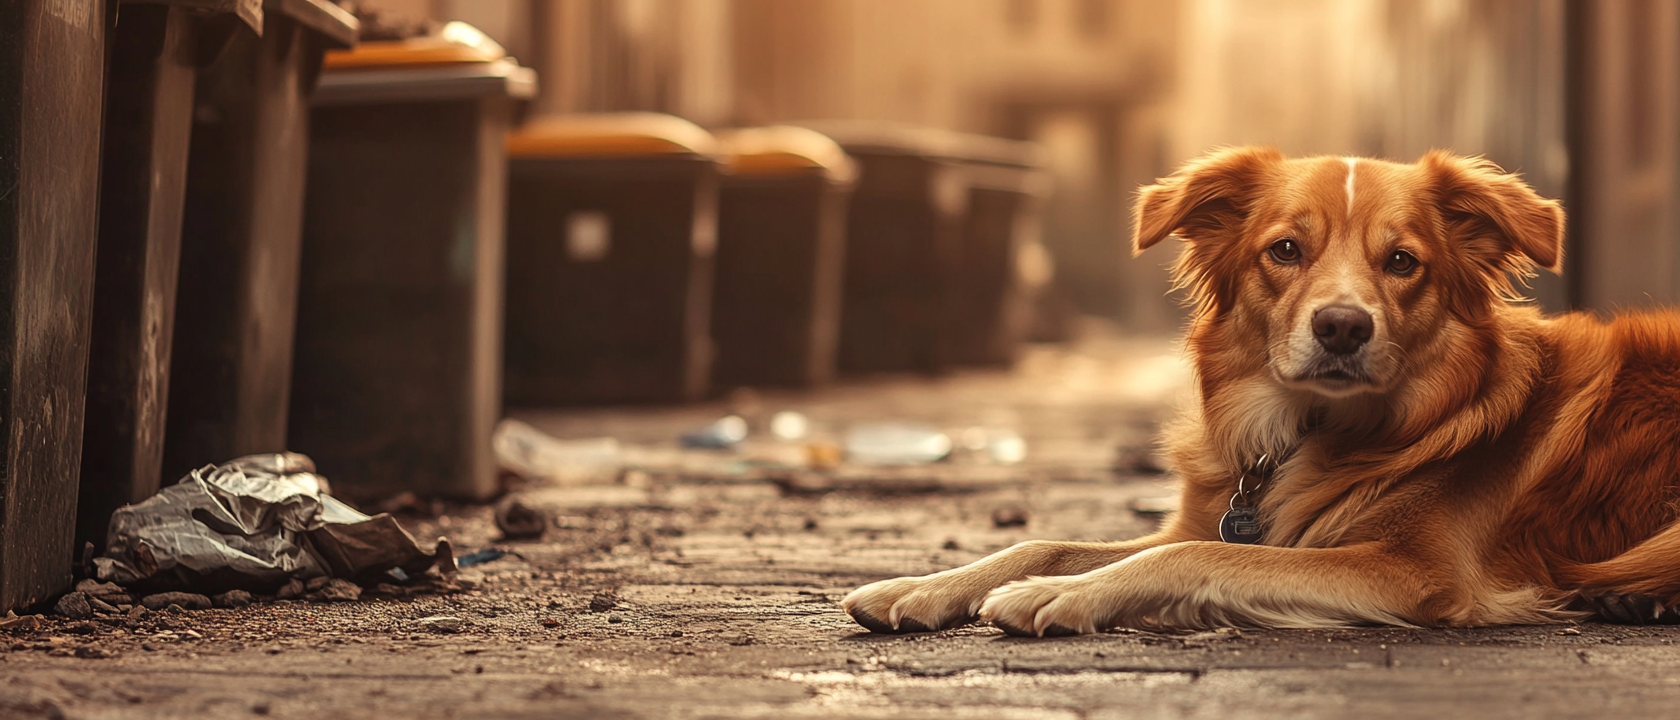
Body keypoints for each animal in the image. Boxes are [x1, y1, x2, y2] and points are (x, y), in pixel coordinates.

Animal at [846, 146, 1680, 634]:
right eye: (1285, 250)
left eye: (1402, 262)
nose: (1342, 327)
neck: (1309, 431)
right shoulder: (1204, 518)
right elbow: (1045, 542)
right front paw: (921, 585)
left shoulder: (1417, 572)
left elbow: (1201, 558)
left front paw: (1057, 596)